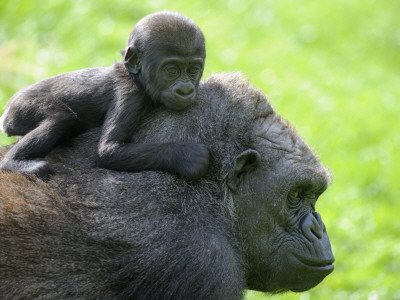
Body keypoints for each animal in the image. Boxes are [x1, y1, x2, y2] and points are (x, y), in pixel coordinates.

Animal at [0, 11, 208, 180]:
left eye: (193, 70)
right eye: (172, 71)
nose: (185, 90)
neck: (134, 76)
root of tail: (6, 111)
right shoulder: (130, 96)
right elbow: (109, 150)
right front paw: (186, 156)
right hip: (22, 104)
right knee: (60, 118)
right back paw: (16, 163)